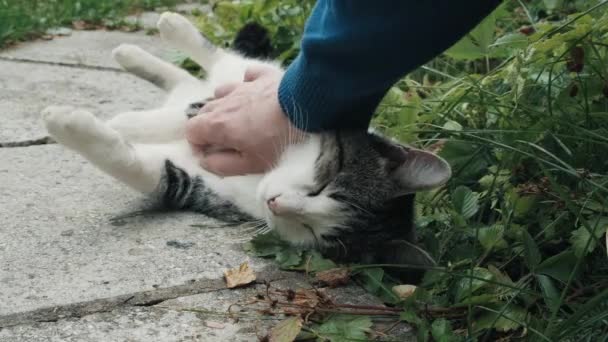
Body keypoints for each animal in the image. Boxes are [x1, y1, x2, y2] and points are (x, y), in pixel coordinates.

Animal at [41, 12, 452, 276]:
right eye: (325, 182)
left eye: (316, 234)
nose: (275, 203)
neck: (264, 171)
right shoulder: (257, 111)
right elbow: (192, 116)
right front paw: (122, 122)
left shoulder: (199, 188)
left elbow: (142, 167)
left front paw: (75, 123)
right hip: (264, 80)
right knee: (224, 64)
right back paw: (162, 32)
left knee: (187, 81)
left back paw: (135, 60)